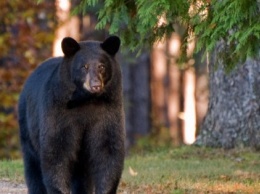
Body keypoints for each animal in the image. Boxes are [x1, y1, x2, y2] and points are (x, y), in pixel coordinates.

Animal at [18, 35, 125, 193]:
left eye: (102, 66)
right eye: (84, 66)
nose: (95, 85)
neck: (85, 100)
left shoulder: (108, 110)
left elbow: (107, 149)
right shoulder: (59, 111)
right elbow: (57, 150)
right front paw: (58, 189)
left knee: (81, 174)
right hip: (27, 124)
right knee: (33, 165)